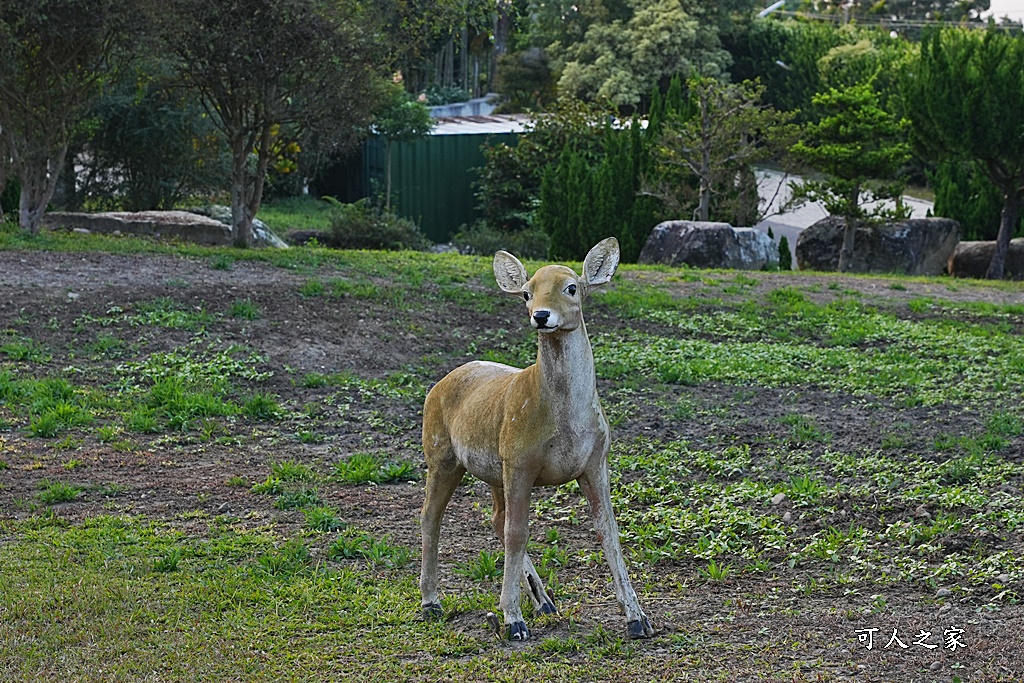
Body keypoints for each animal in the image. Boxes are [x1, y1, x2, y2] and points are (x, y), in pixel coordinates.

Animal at [417, 236, 651, 643]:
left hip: (494, 467)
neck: (565, 422)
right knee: (432, 515)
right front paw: (512, 620)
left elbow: (609, 530)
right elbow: (518, 532)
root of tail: (439, 384)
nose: (541, 315)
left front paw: (637, 618)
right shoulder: (521, 460)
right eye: (526, 292)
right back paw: (432, 602)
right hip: (441, 451)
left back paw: (545, 602)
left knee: (495, 518)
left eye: (571, 287)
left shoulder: (596, 460)